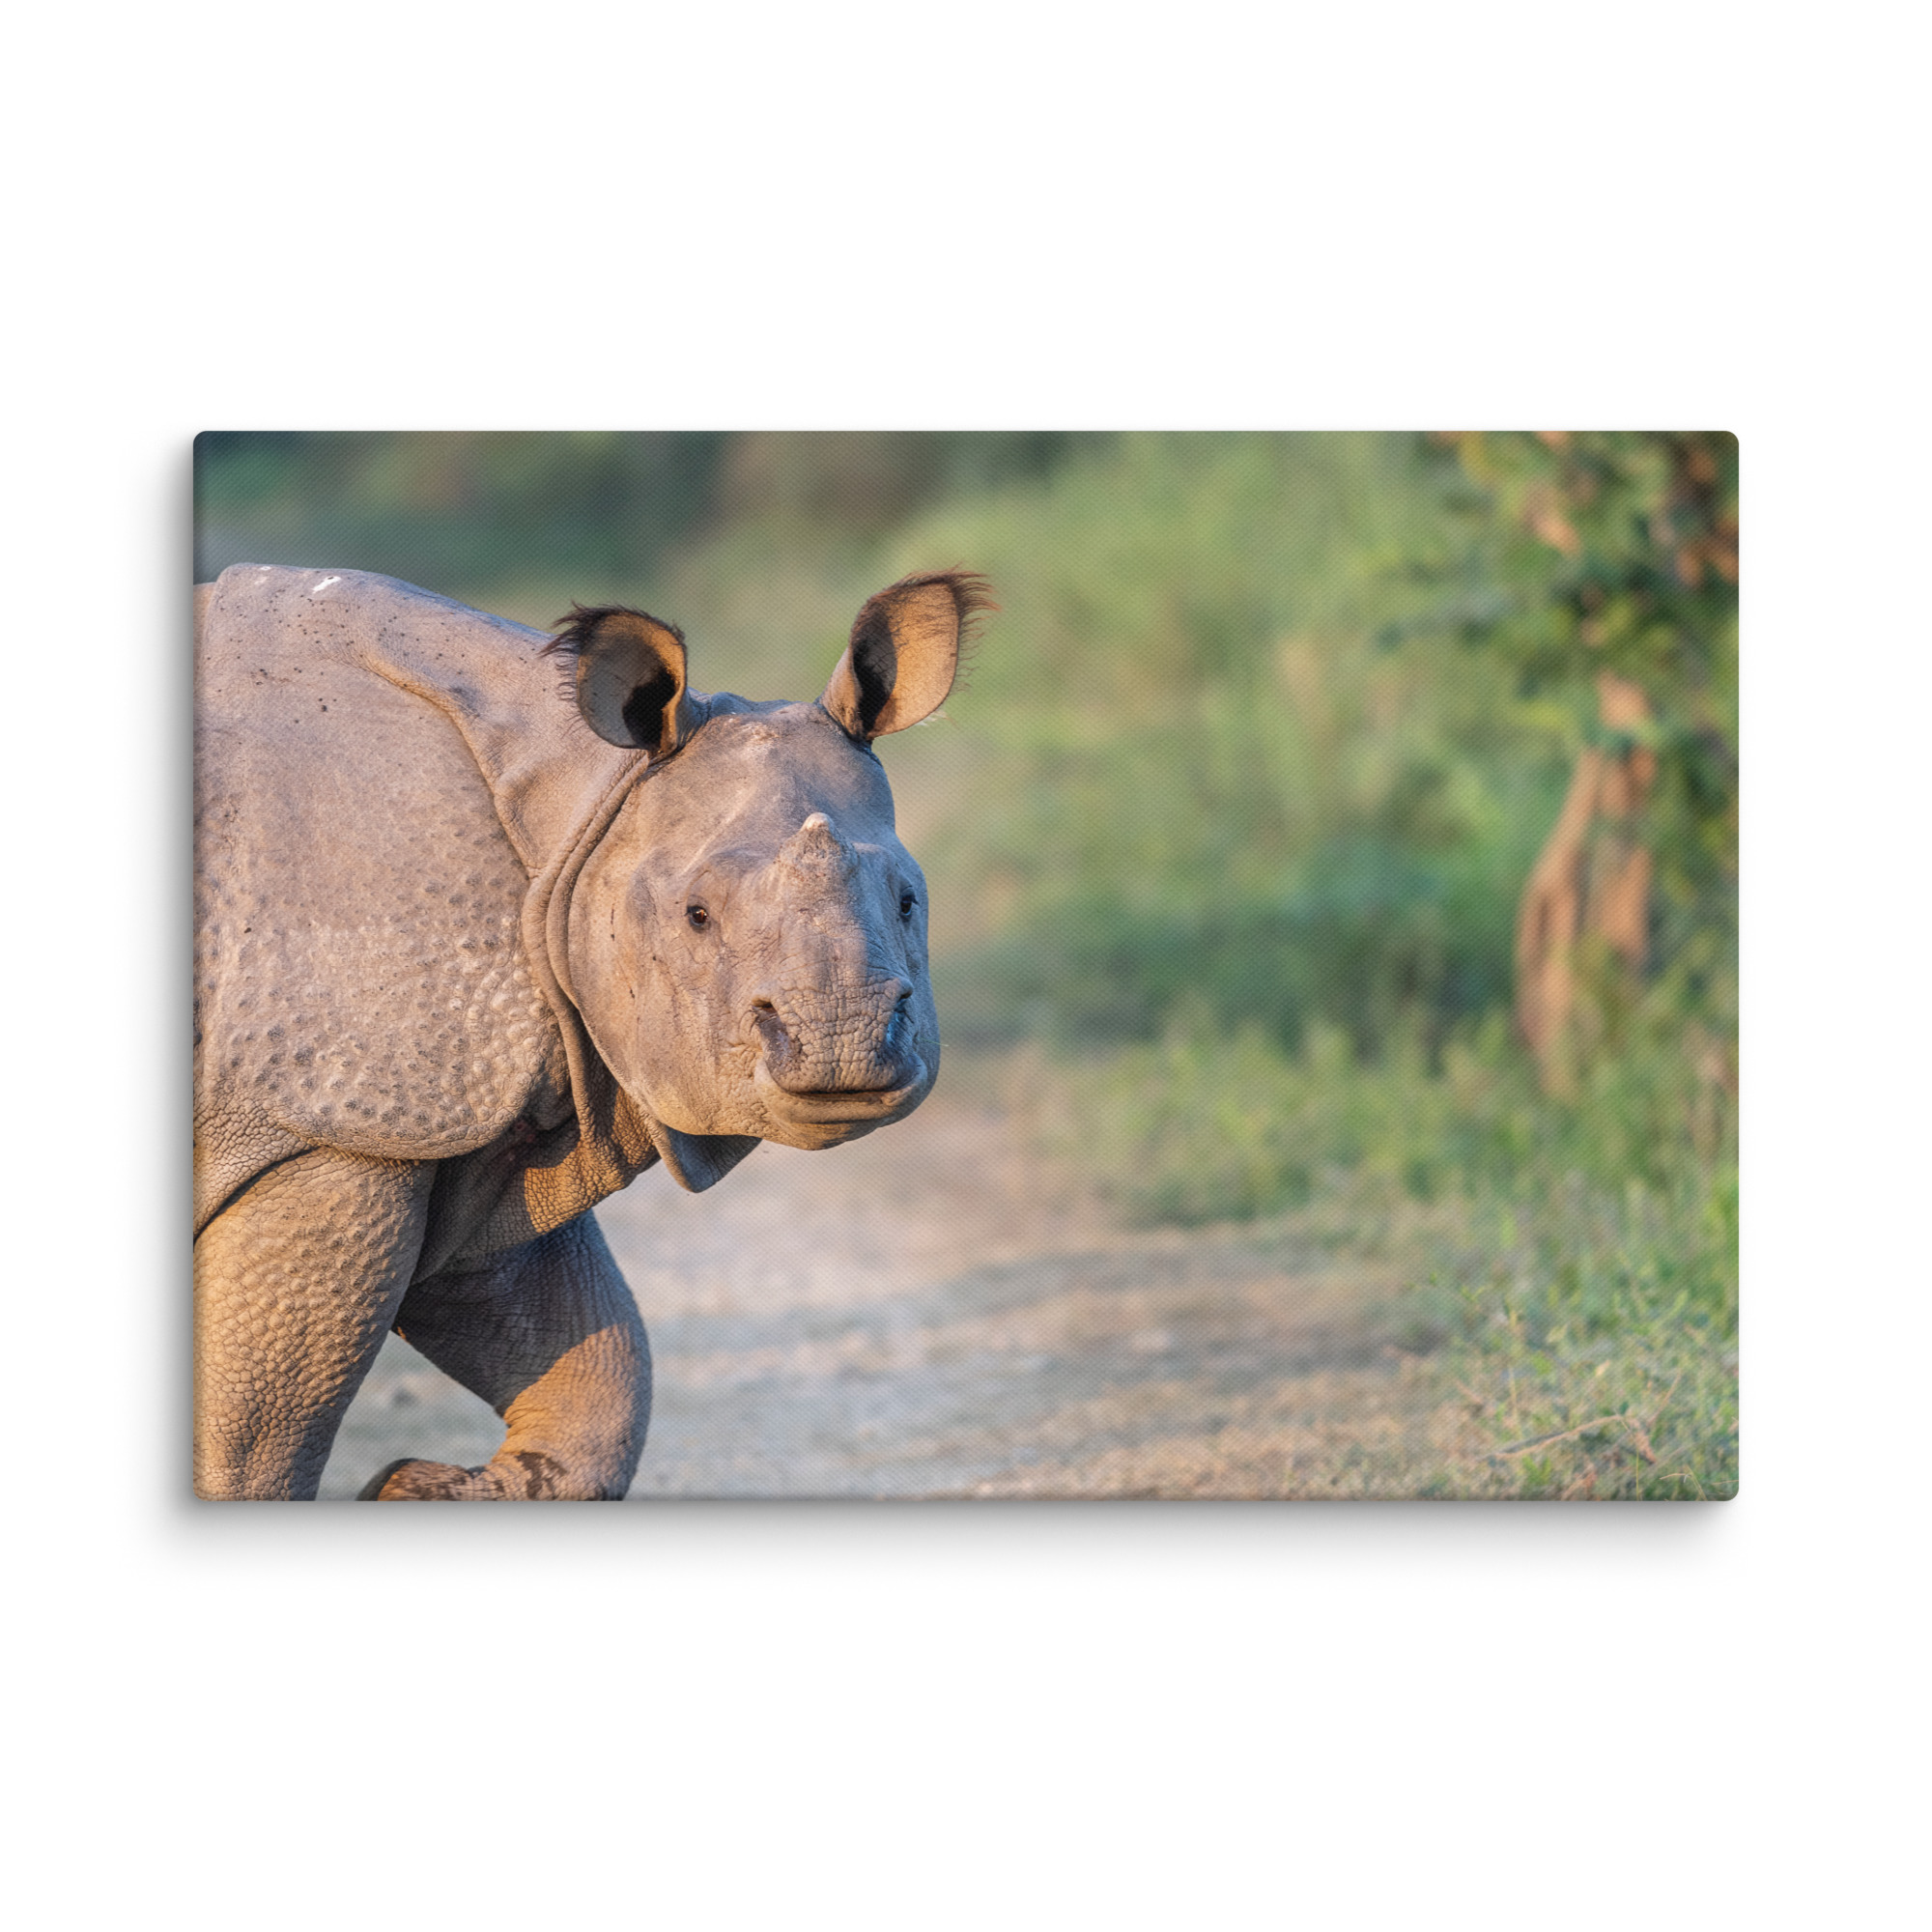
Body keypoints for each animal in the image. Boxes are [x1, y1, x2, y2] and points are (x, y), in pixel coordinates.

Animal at [194, 561, 986, 1499]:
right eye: (696, 916)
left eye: (907, 902)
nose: (842, 1046)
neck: (584, 807)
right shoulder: (334, 1127)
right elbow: (261, 1440)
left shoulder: (454, 1123)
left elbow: (596, 1367)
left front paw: (415, 1487)